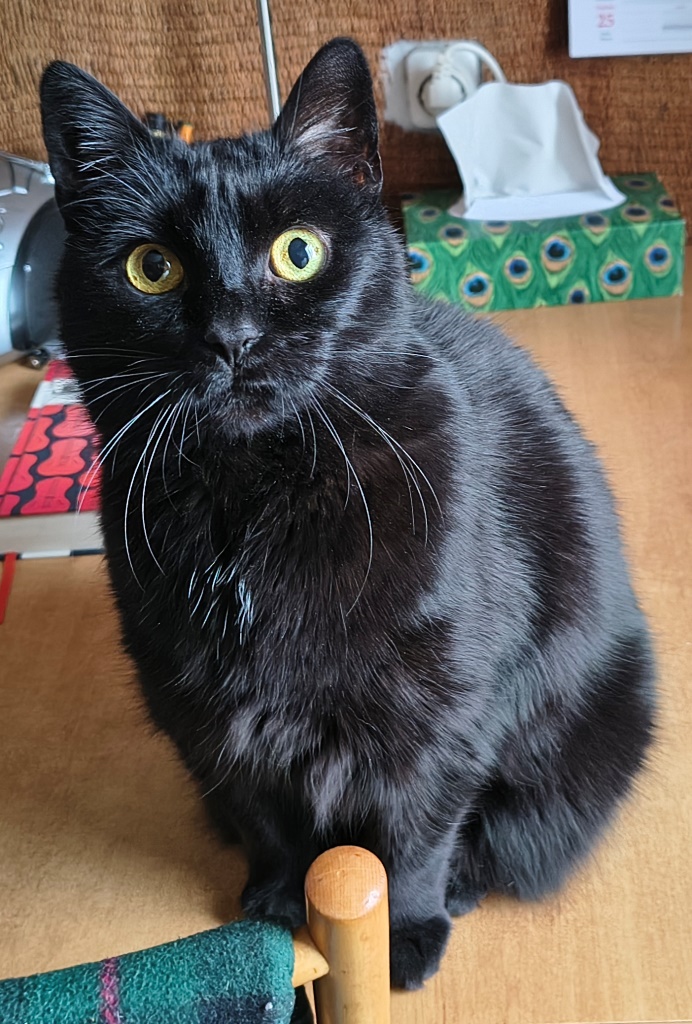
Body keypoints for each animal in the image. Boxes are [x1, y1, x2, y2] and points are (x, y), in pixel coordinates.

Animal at [40, 38, 655, 990]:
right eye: (151, 267)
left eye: (299, 252)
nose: (232, 338)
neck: (253, 497)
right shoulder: (211, 718)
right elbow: (268, 819)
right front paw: (281, 903)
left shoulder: (438, 713)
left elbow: (409, 836)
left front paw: (400, 932)